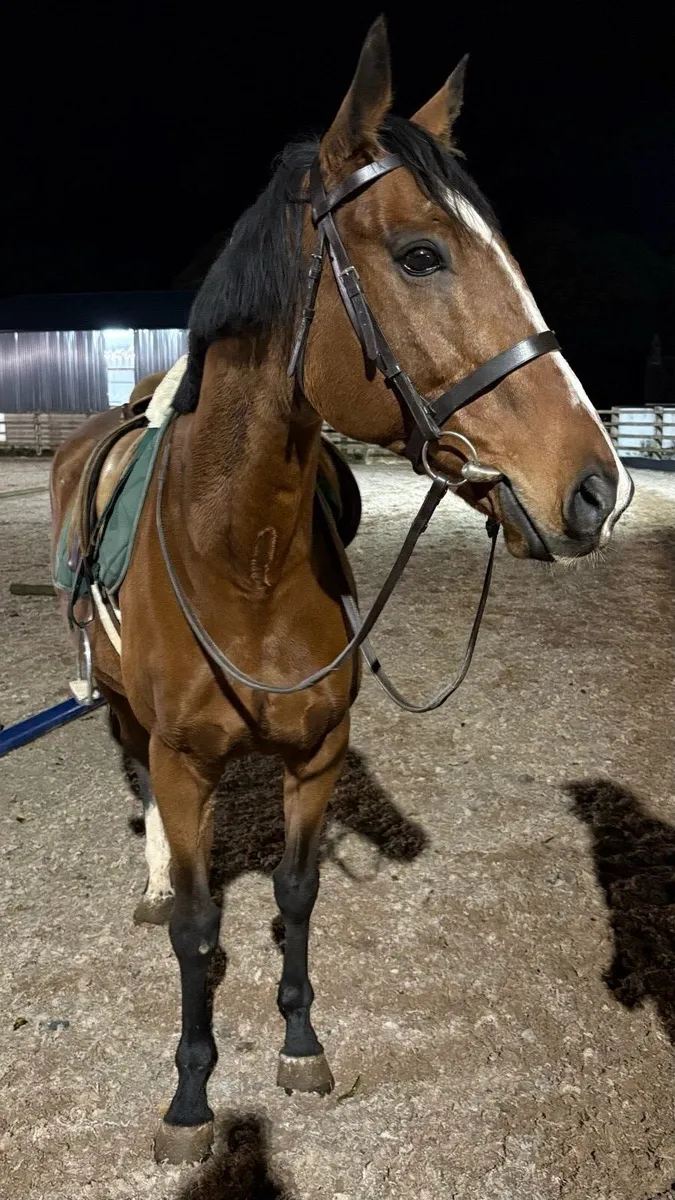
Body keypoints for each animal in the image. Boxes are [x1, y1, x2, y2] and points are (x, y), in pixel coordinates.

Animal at [50, 17, 633, 1165]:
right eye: (419, 255)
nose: (597, 489)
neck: (244, 557)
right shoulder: (185, 763)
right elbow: (200, 927)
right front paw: (191, 1096)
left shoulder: (317, 756)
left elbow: (297, 892)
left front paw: (301, 1042)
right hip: (131, 713)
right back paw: (151, 883)